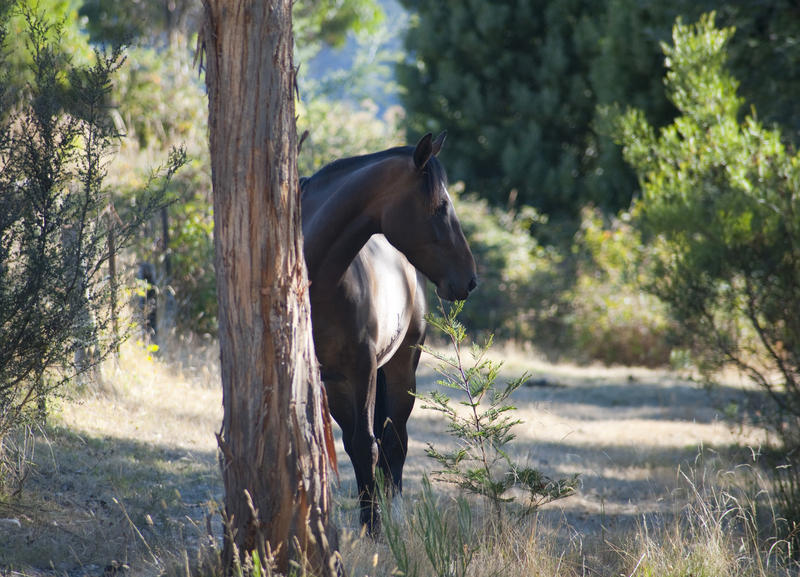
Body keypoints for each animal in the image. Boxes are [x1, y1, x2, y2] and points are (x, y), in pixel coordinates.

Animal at [300, 133, 476, 532]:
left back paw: (392, 514)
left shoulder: (362, 370)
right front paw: (367, 520)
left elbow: (370, 445)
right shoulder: (324, 376)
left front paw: (375, 529)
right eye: (441, 206)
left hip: (400, 370)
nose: (470, 280)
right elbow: (347, 446)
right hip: (341, 386)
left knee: (394, 442)